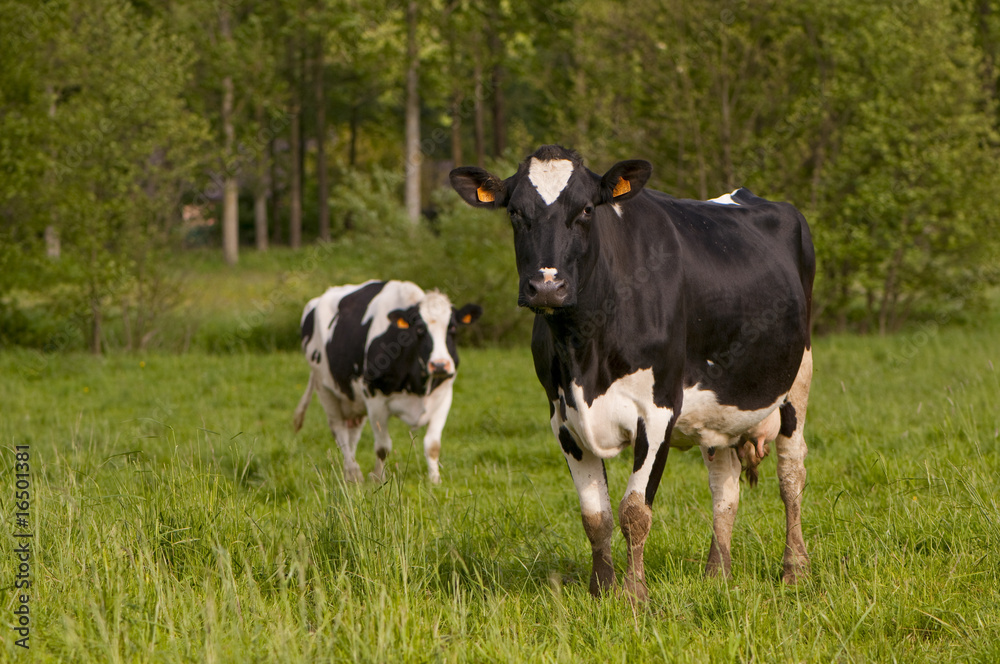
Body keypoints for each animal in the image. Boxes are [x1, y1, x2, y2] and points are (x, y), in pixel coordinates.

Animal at [294, 280, 482, 482]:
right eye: (419, 329)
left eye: (452, 328)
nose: (439, 365)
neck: (418, 386)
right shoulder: (374, 400)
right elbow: (383, 447)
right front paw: (379, 478)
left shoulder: (444, 396)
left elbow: (432, 445)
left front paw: (435, 480)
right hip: (325, 389)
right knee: (339, 432)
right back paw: (353, 472)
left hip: (353, 400)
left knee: (352, 434)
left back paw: (350, 475)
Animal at [450, 147, 816, 600]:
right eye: (515, 212)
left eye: (587, 209)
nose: (547, 286)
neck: (584, 351)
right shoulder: (563, 419)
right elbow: (596, 516)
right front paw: (601, 589)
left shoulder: (658, 411)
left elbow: (634, 511)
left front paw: (634, 594)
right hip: (720, 412)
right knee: (724, 487)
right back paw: (718, 573)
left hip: (797, 381)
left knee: (791, 476)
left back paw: (795, 568)